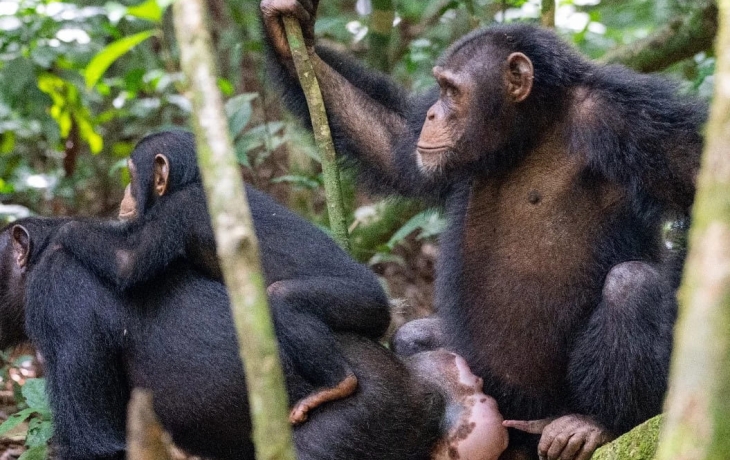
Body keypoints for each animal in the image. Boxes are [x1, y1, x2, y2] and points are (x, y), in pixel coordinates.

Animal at [55, 129, 392, 424]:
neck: (192, 181)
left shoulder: (179, 208)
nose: (125, 195)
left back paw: (336, 384)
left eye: (131, 175)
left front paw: (63, 230)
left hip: (362, 301)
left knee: (283, 297)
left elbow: (128, 262)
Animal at [262, 1, 700, 458]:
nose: (433, 113)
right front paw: (287, 29)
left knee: (631, 284)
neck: (533, 128)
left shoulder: (628, 117)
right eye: (438, 89)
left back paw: (596, 423)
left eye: (452, 91)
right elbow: (394, 144)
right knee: (414, 336)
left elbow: (697, 180)